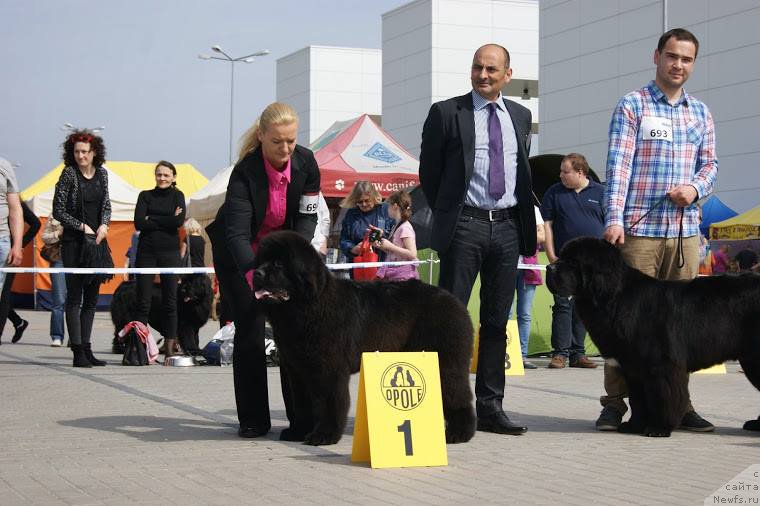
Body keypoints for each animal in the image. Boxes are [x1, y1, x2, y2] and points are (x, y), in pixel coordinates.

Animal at [252, 231, 476, 444]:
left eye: (279, 264)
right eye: (262, 261)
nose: (256, 273)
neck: (308, 307)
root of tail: (454, 302)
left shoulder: (328, 370)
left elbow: (329, 403)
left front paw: (324, 435)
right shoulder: (298, 370)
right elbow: (302, 404)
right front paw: (298, 431)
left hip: (445, 362)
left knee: (458, 394)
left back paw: (459, 433)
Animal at [548, 239, 760, 436]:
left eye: (573, 262)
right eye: (561, 256)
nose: (549, 267)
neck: (615, 297)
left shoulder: (660, 365)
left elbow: (661, 398)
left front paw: (659, 428)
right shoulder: (633, 367)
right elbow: (638, 400)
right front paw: (634, 425)